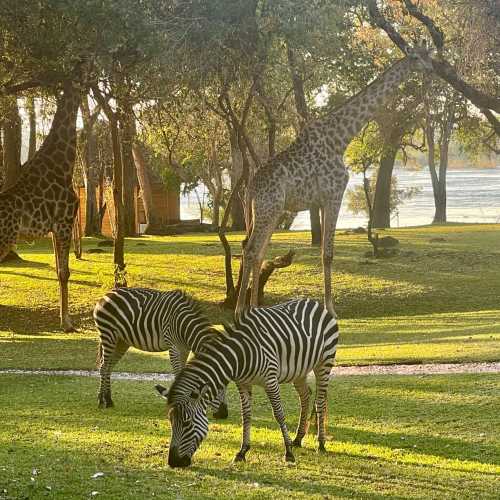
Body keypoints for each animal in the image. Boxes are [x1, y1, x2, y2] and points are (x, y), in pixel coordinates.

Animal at [0, 80, 81, 332]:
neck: (64, 166)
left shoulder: (56, 227)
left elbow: (58, 271)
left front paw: (64, 320)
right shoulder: (65, 222)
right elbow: (65, 272)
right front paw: (67, 323)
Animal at [93, 286, 228, 418]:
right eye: (216, 386)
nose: (223, 414)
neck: (184, 326)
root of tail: (107, 294)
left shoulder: (185, 349)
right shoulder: (174, 347)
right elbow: (178, 373)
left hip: (121, 341)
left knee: (109, 367)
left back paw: (109, 400)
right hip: (108, 335)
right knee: (104, 367)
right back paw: (102, 401)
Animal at [154, 298, 338, 466]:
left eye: (187, 424)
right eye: (171, 422)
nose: (173, 462)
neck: (240, 356)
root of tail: (314, 301)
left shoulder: (270, 380)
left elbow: (278, 414)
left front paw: (288, 453)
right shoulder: (243, 383)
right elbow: (246, 415)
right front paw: (242, 452)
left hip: (324, 362)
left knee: (320, 401)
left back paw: (321, 444)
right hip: (299, 371)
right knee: (305, 396)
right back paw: (298, 439)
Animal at [236, 45, 432, 314]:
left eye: (428, 54)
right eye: (416, 56)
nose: (431, 67)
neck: (341, 138)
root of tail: (250, 190)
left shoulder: (319, 201)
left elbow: (322, 252)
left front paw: (328, 305)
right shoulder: (334, 194)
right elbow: (328, 254)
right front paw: (331, 308)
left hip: (270, 211)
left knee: (258, 252)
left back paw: (255, 309)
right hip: (268, 208)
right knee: (251, 249)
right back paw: (239, 311)